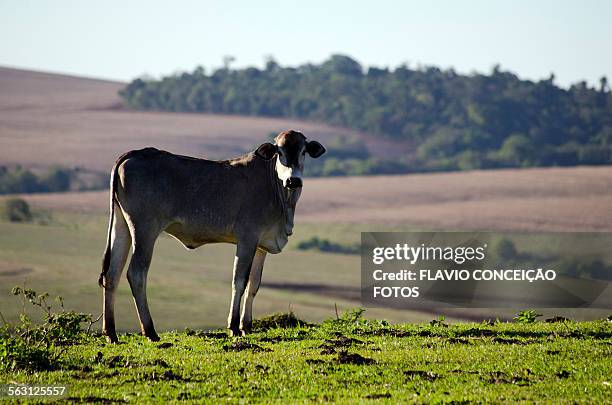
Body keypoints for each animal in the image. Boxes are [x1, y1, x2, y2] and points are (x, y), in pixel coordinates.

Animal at [98, 129, 326, 340]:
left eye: (303, 151)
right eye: (279, 151)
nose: (293, 180)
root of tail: (134, 153)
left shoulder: (261, 245)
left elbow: (253, 285)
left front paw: (247, 326)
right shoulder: (247, 238)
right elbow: (239, 281)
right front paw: (234, 327)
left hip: (122, 226)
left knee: (112, 274)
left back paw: (111, 333)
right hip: (144, 230)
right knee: (136, 273)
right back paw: (150, 331)